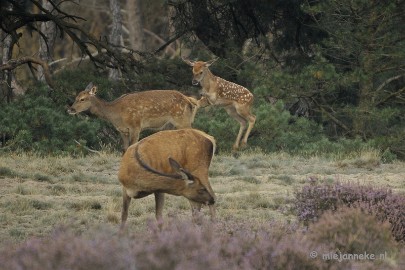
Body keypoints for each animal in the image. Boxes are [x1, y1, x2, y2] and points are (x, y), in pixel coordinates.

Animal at [68, 82, 197, 152]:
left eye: (82, 99)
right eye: (76, 97)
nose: (70, 109)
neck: (117, 114)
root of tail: (189, 101)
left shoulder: (135, 125)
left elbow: (132, 146)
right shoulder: (122, 130)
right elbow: (124, 148)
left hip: (182, 119)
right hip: (170, 125)